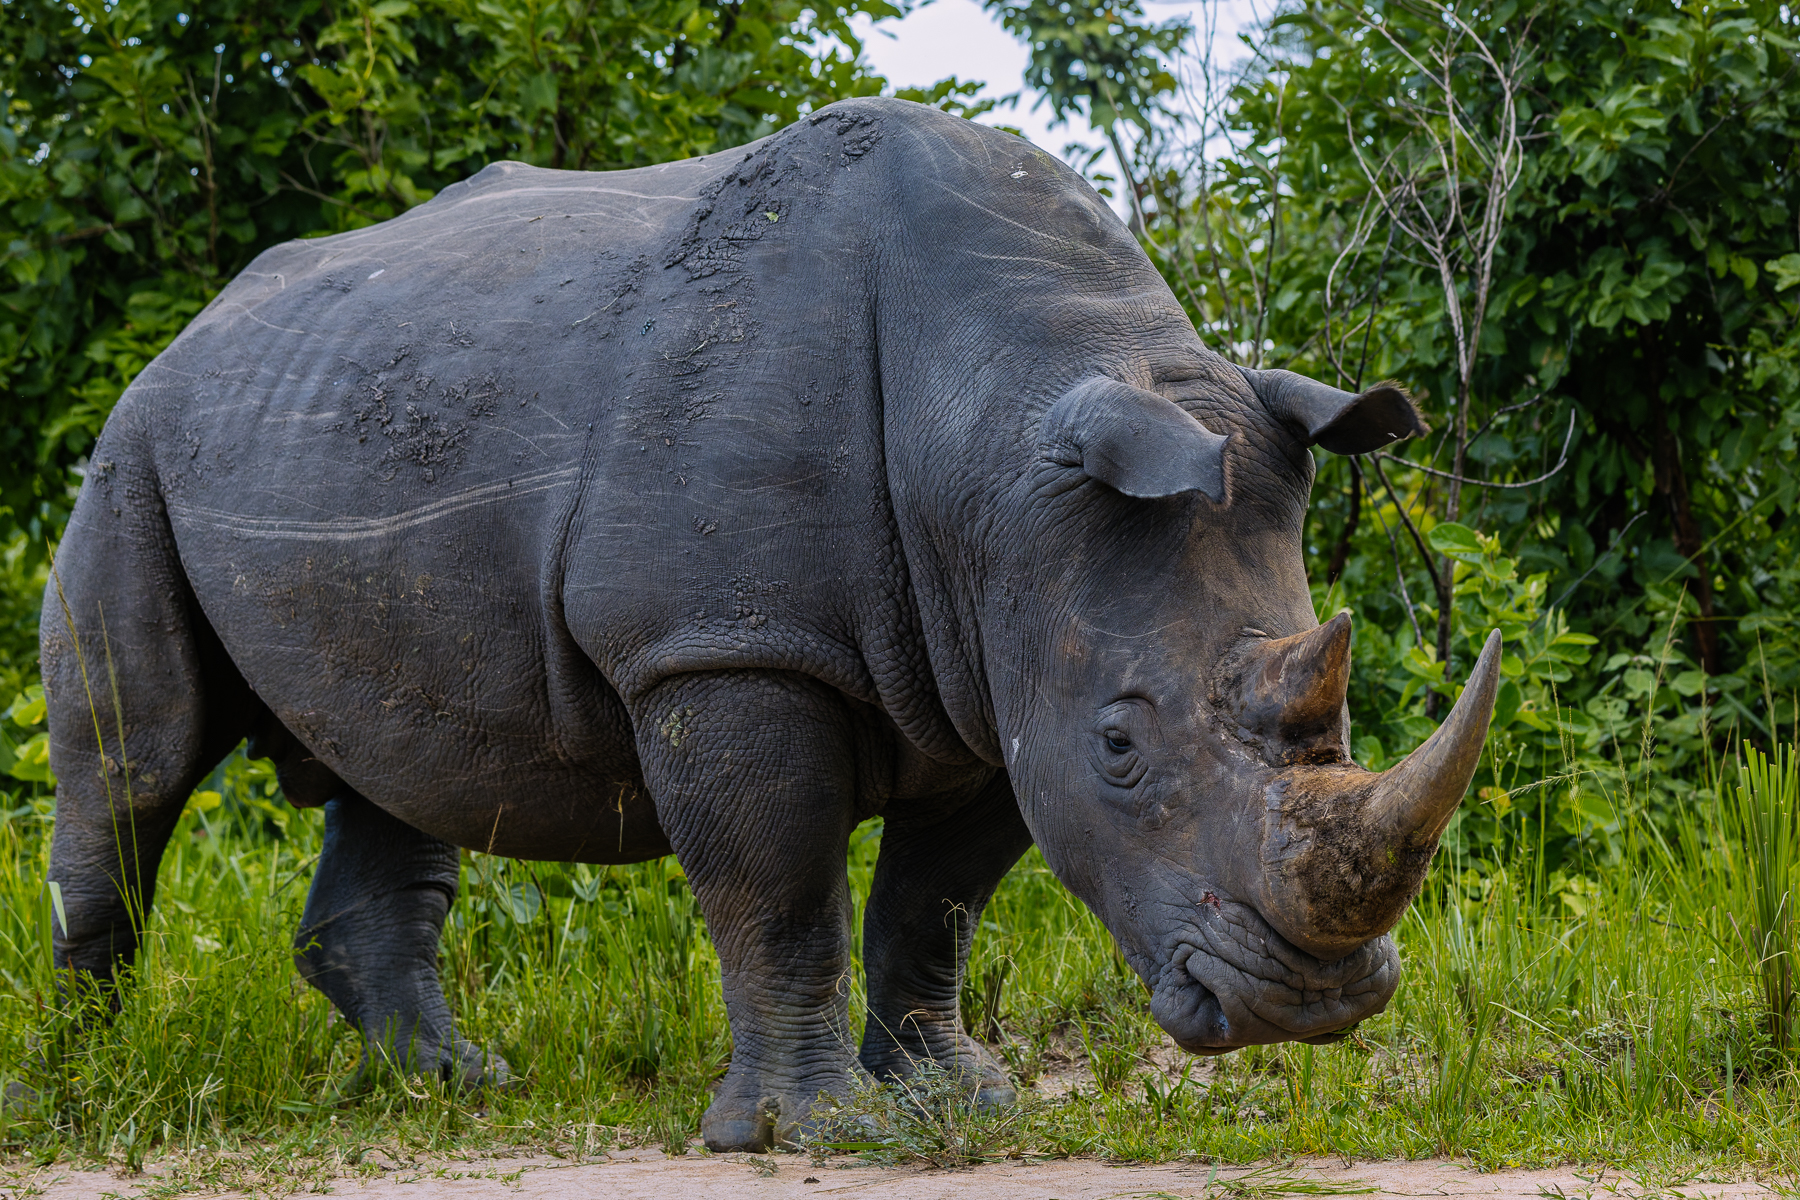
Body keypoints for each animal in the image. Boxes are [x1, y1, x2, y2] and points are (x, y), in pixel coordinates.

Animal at [42, 98, 1499, 1152]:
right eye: (1124, 747)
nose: (1309, 1003)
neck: (1005, 417)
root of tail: (200, 324)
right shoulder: (724, 646)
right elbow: (780, 886)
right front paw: (807, 1133)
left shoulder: (999, 662)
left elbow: (935, 901)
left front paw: (958, 1099)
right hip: (131, 448)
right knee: (133, 764)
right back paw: (88, 1088)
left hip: (334, 414)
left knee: (401, 760)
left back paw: (461, 1089)